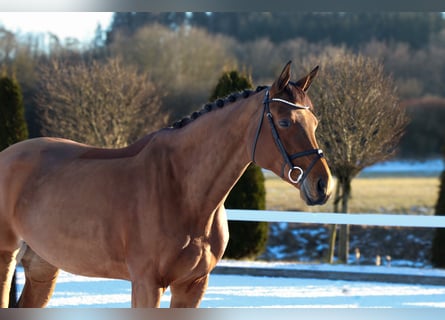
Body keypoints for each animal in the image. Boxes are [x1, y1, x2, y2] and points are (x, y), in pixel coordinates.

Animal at [0, 60, 332, 308]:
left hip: (43, 266)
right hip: (6, 258)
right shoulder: (147, 284)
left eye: (315, 123)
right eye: (285, 122)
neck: (182, 189)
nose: (322, 185)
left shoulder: (192, 285)